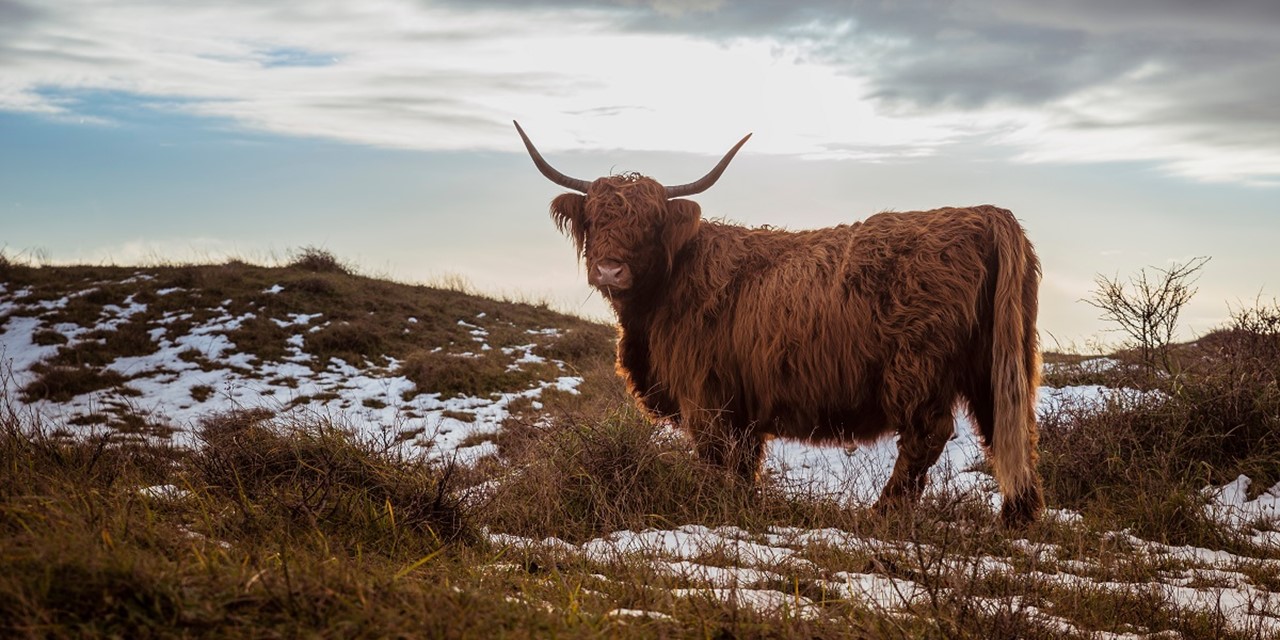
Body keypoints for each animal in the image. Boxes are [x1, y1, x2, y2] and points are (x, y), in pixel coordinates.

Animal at [514, 122, 1044, 527]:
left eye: (650, 222)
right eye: (594, 219)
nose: (610, 270)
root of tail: (982, 214)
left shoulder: (705, 393)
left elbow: (716, 457)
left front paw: (716, 506)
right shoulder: (743, 403)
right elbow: (744, 461)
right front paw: (743, 503)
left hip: (918, 368)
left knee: (927, 433)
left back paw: (883, 514)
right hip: (998, 362)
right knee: (1008, 428)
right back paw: (1018, 516)